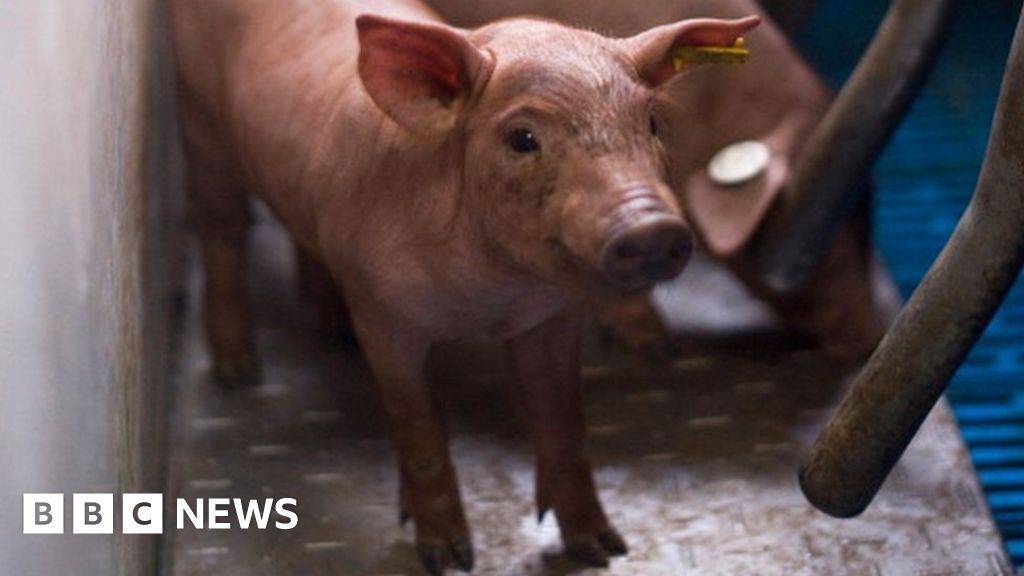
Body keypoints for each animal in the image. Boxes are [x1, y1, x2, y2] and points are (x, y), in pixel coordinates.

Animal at [170, 0, 759, 572]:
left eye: (652, 122)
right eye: (522, 138)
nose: (653, 229)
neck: (489, 296)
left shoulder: (552, 317)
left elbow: (563, 422)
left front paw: (602, 548)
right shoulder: (384, 316)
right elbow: (421, 430)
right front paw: (449, 557)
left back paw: (329, 328)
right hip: (199, 127)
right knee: (221, 232)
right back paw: (238, 372)